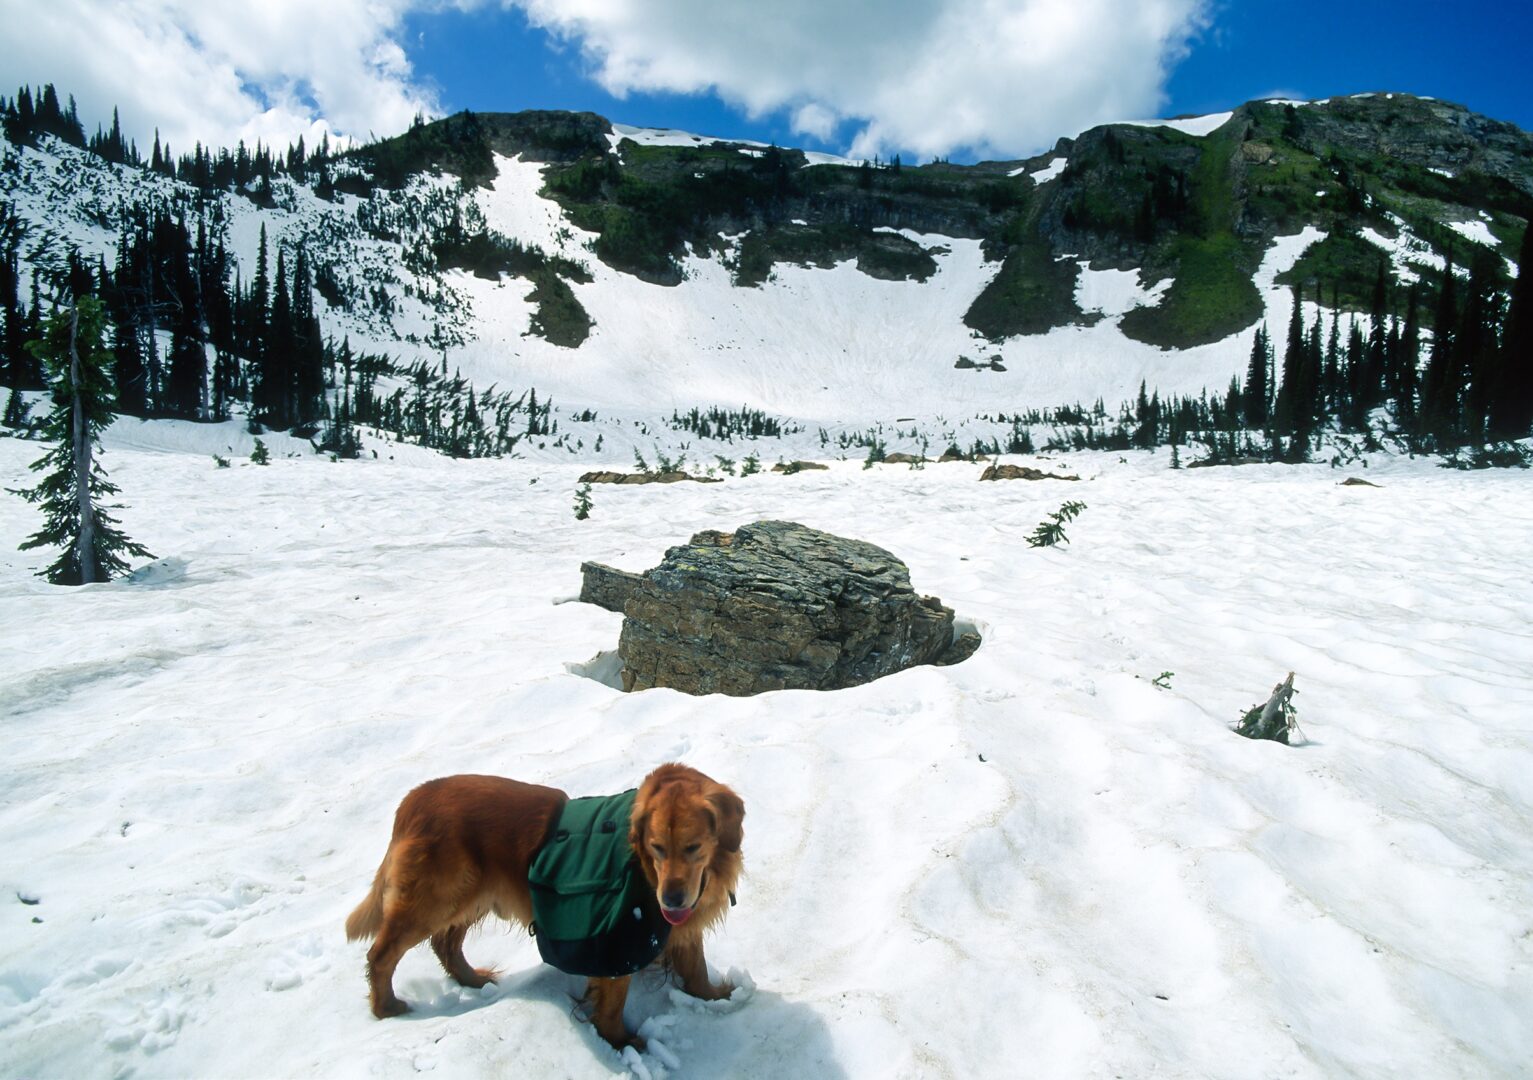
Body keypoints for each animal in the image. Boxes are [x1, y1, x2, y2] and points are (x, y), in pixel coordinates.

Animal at [349, 762, 754, 1047]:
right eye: (656, 847)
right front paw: (620, 1042)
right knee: (381, 954)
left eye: (693, 847)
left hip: (473, 894)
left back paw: (473, 980)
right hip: (434, 899)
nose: (670, 898)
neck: (643, 870)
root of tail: (412, 799)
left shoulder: (677, 927)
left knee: (444, 943)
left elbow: (696, 965)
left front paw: (714, 997)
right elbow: (613, 1002)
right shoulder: (614, 943)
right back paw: (386, 1007)